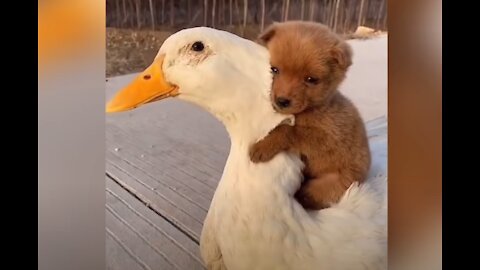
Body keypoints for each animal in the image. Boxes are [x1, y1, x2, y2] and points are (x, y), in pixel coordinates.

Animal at [251, 21, 372, 211]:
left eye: (311, 79)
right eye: (274, 69)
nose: (282, 101)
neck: (315, 108)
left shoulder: (327, 138)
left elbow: (289, 130)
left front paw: (262, 147)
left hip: (331, 184)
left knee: (309, 196)